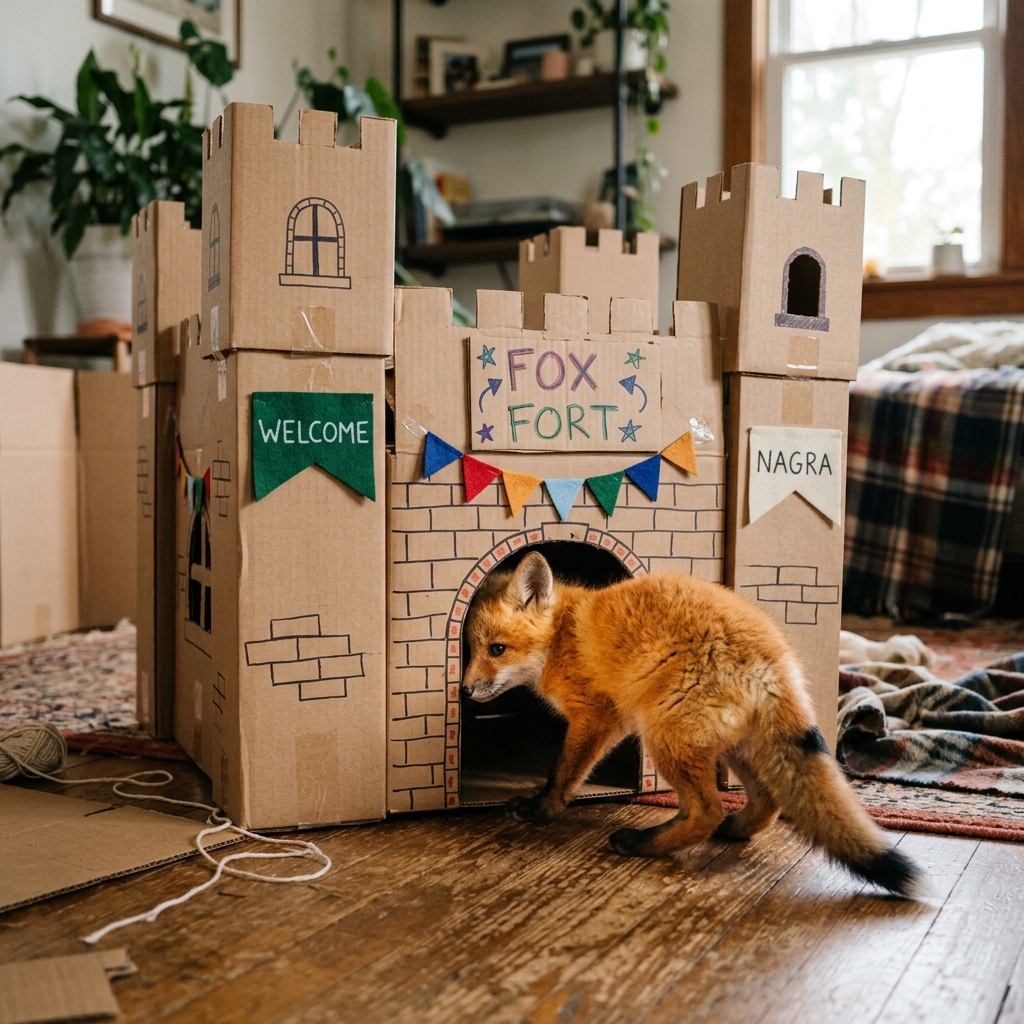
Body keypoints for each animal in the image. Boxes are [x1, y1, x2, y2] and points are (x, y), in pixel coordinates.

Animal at [461, 551, 925, 898]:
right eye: (468, 649)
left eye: (497, 649)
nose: (464, 691)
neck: (562, 636)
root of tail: (775, 659)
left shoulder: (596, 715)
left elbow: (561, 773)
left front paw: (541, 810)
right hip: (736, 747)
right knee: (766, 802)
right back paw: (733, 830)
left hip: (666, 738)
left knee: (707, 809)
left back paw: (642, 843)